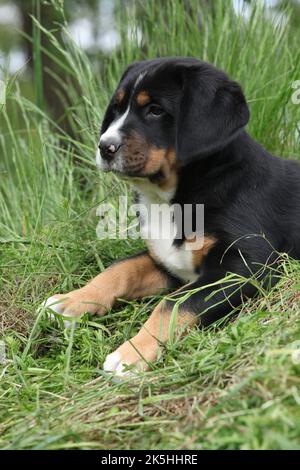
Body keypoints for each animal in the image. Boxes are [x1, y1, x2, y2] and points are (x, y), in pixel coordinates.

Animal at [44, 57, 300, 374]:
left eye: (155, 110)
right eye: (117, 108)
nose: (105, 147)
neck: (170, 199)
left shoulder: (244, 266)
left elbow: (174, 304)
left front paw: (131, 354)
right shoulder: (168, 261)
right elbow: (120, 269)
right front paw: (72, 301)